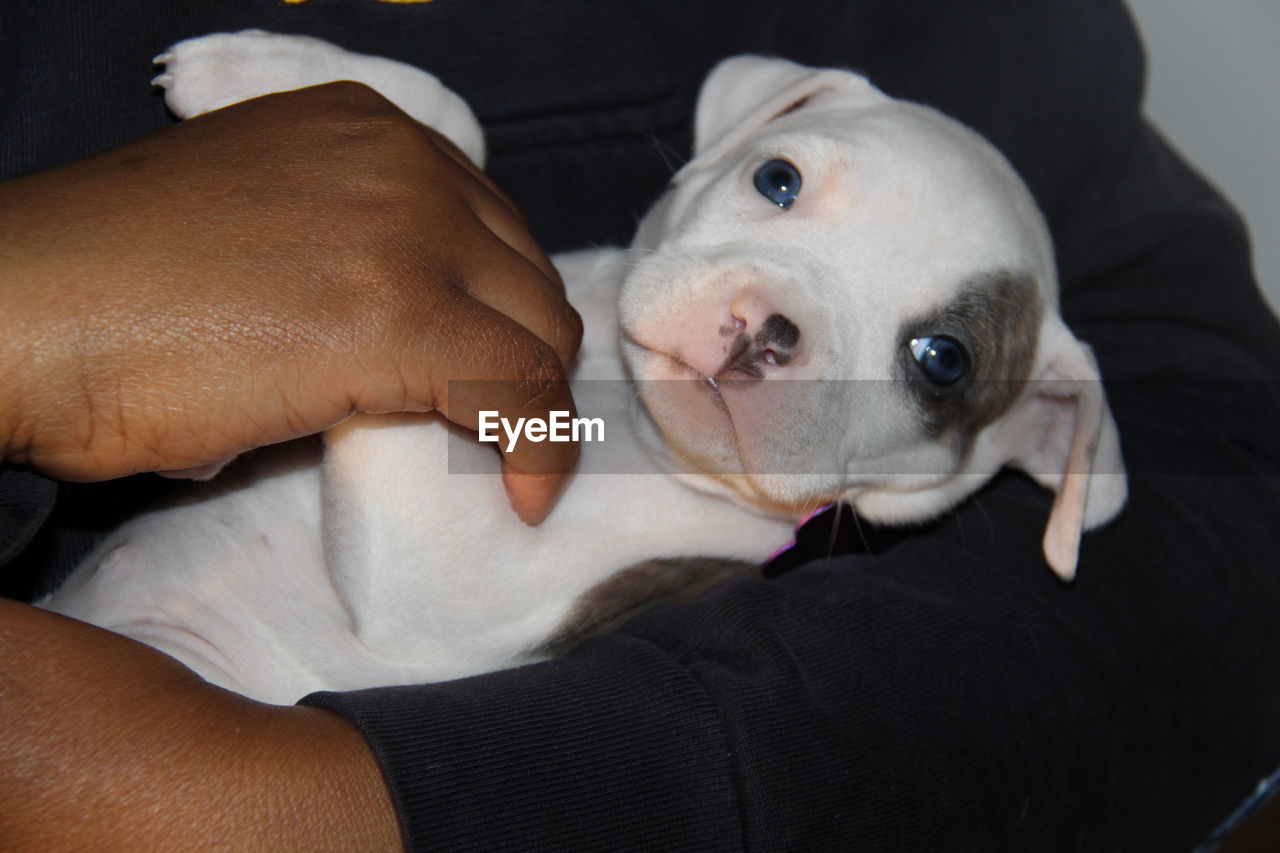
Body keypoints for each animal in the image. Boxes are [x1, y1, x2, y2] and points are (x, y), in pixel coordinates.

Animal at [40, 29, 1126, 701]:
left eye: (941, 359)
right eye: (777, 178)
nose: (767, 329)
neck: (621, 406)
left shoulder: (450, 596)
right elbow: (454, 119)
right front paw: (267, 71)